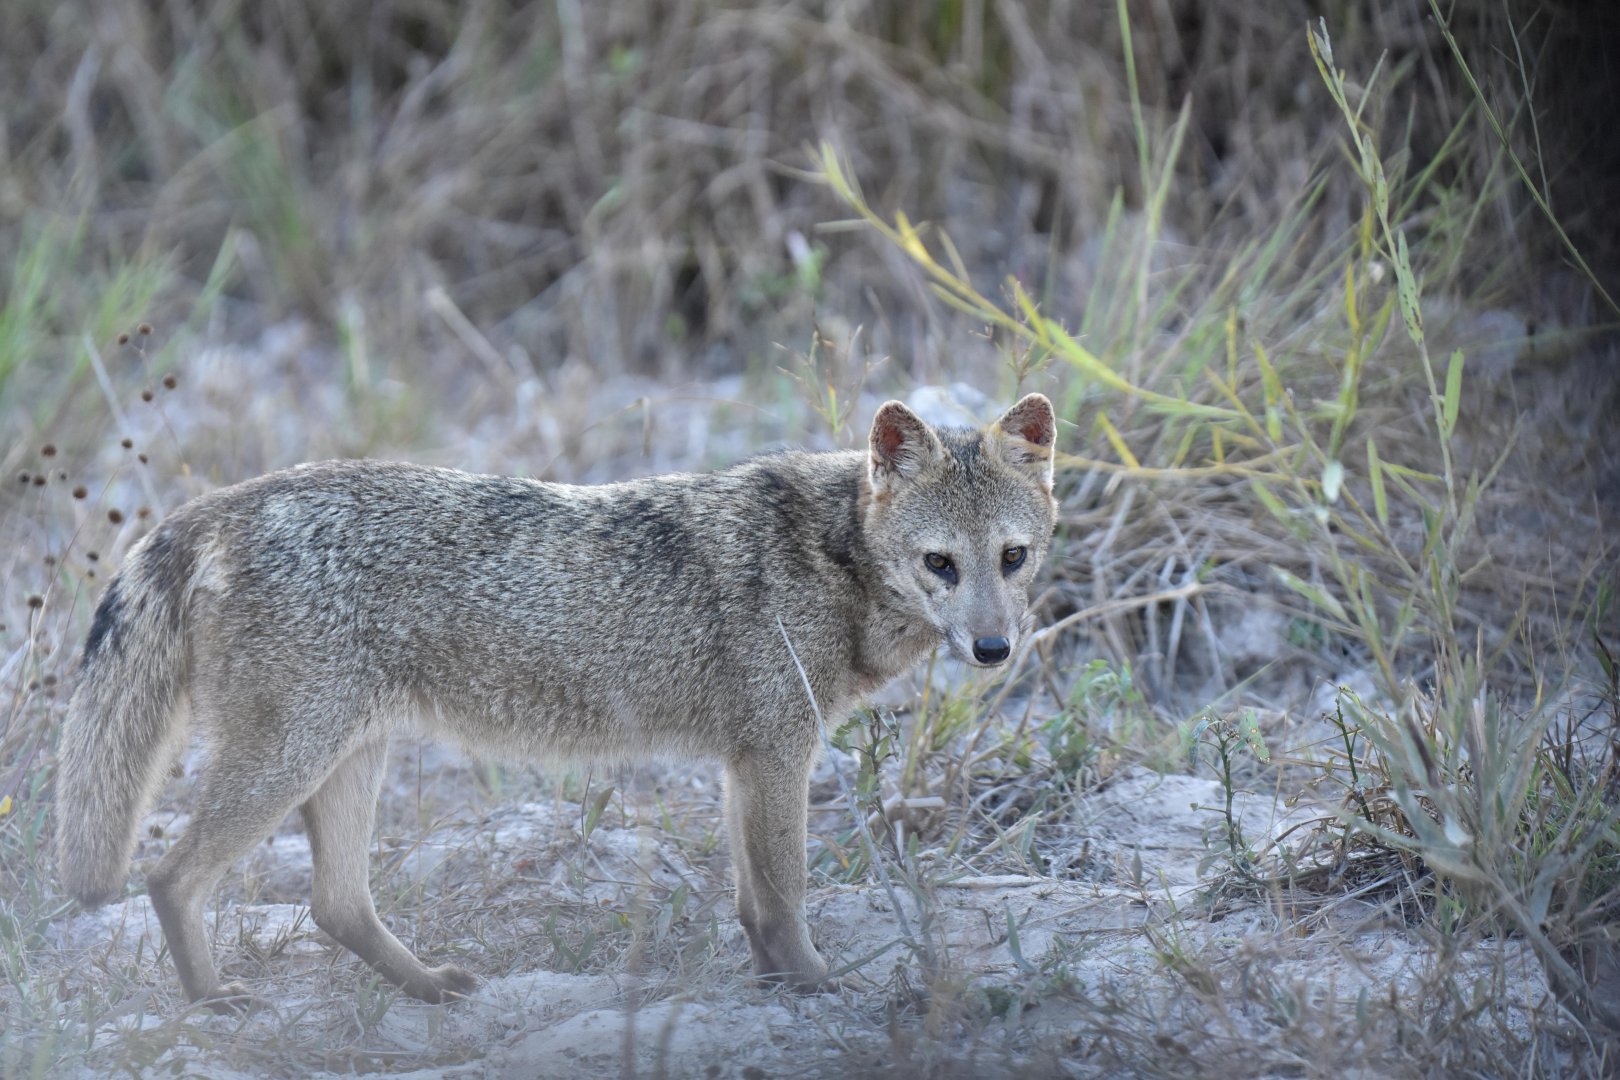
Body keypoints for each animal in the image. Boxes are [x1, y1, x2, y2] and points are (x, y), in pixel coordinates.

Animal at [55, 392, 1059, 1010]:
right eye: (940, 564)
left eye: (1012, 558)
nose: (994, 649)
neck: (832, 556)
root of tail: (221, 502)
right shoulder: (778, 755)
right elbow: (785, 895)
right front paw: (815, 986)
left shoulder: (745, 763)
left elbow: (752, 905)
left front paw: (777, 982)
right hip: (288, 761)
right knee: (170, 876)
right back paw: (212, 1001)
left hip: (347, 761)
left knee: (334, 905)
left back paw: (428, 987)